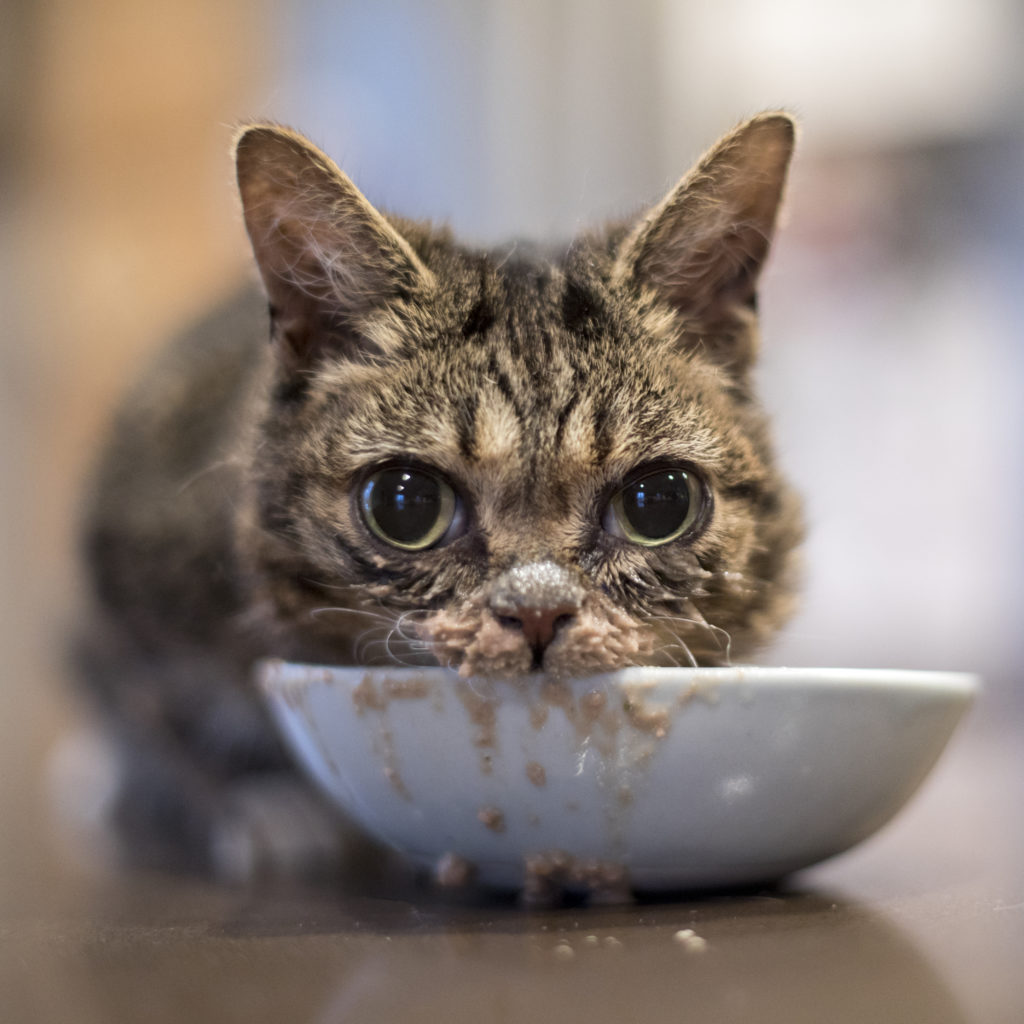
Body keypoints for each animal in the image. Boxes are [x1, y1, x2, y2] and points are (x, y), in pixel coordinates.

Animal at [75, 112, 802, 880]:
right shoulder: (123, 603)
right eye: (406, 505)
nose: (537, 611)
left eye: (658, 503)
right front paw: (260, 803)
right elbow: (149, 712)